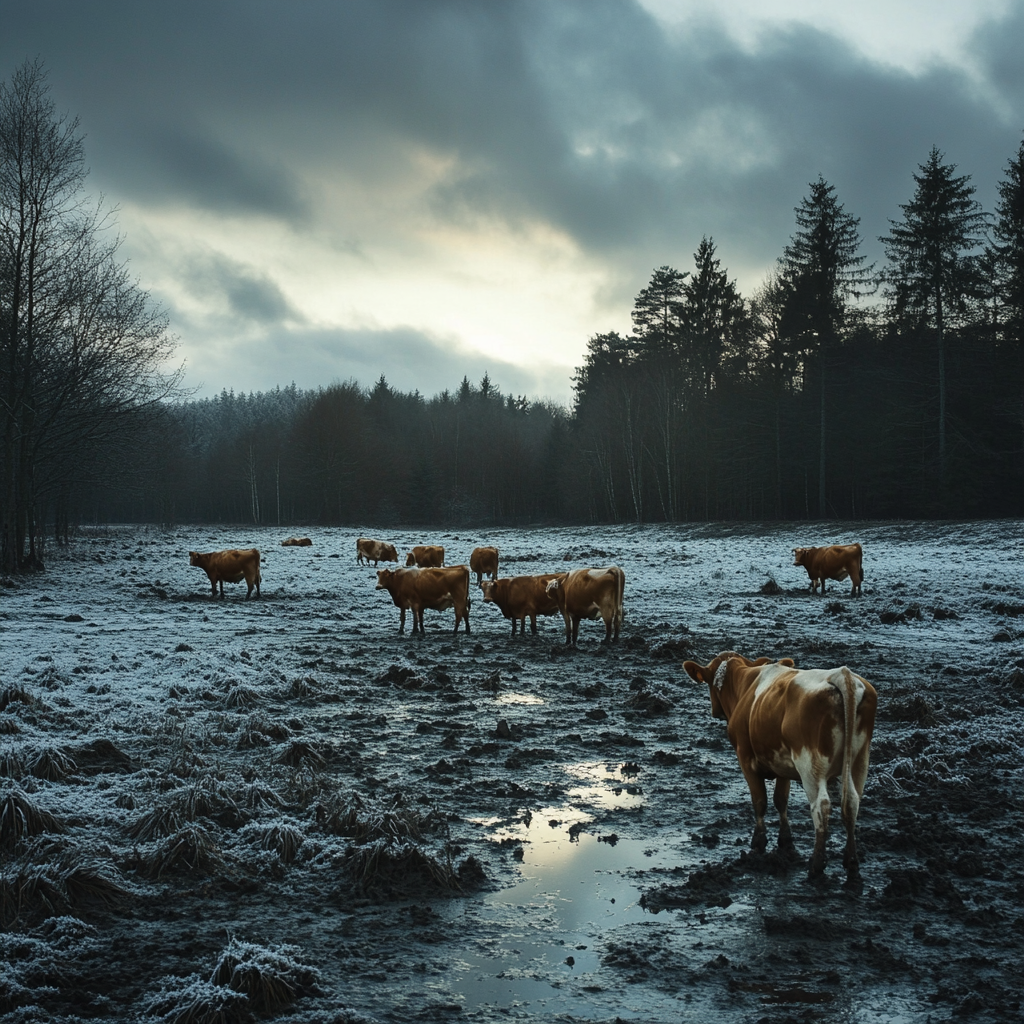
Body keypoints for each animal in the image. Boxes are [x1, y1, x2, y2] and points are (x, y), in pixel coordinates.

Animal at [684, 655, 876, 880]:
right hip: (859, 761)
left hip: (810, 764)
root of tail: (841, 674)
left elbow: (760, 801)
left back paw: (817, 865)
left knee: (821, 806)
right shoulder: (783, 762)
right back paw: (851, 863)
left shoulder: (745, 758)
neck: (745, 684)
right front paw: (786, 840)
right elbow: (781, 800)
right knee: (852, 803)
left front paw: (758, 842)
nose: (715, 711)